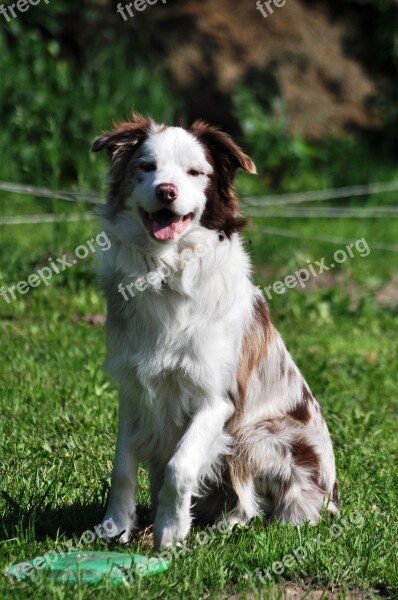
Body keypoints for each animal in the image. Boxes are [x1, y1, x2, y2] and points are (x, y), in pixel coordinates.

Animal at [91, 112, 338, 548]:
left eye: (195, 172)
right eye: (146, 167)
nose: (167, 191)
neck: (166, 272)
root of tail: (331, 498)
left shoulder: (217, 399)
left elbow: (181, 464)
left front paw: (171, 533)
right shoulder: (133, 388)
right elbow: (122, 464)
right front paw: (115, 527)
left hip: (259, 435)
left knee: (256, 504)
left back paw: (228, 525)